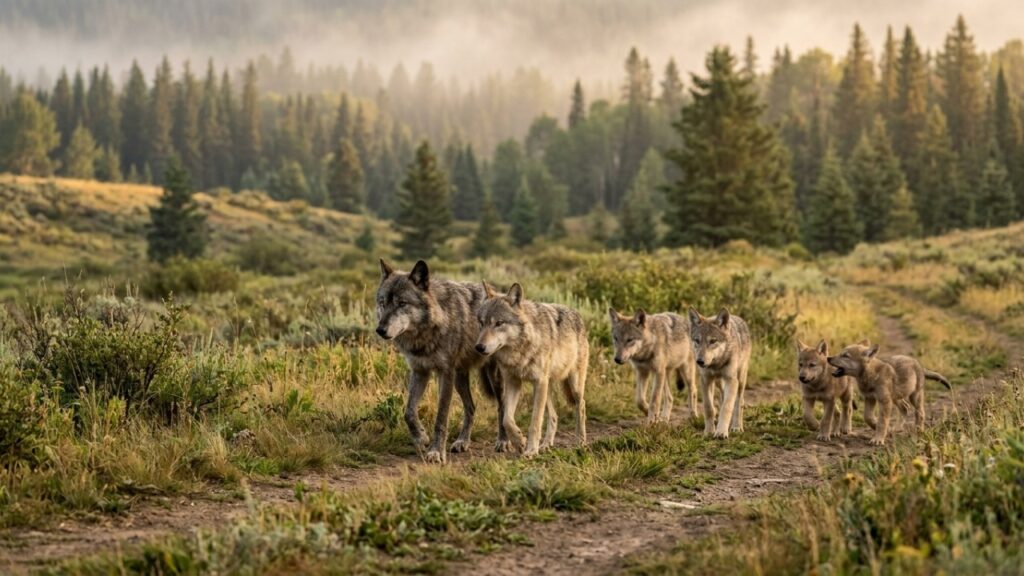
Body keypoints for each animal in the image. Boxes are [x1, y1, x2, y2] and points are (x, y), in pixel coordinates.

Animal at [376, 259, 505, 463]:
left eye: (402, 303)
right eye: (382, 303)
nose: (380, 330)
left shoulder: (445, 374)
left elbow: (441, 417)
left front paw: (436, 451)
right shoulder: (420, 371)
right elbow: (409, 412)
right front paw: (421, 438)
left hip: (493, 378)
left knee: (502, 408)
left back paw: (503, 441)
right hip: (459, 379)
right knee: (471, 407)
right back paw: (462, 442)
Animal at [474, 283, 588, 458]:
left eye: (499, 323)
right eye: (481, 323)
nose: (479, 347)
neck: (519, 351)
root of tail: (578, 315)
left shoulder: (538, 381)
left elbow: (535, 422)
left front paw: (531, 450)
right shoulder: (513, 382)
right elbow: (507, 419)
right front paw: (519, 442)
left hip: (571, 385)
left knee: (581, 406)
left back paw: (580, 441)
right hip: (546, 388)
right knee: (553, 416)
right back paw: (546, 445)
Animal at [688, 308, 751, 439]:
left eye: (713, 341)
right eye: (697, 340)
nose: (700, 361)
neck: (716, 365)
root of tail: (738, 318)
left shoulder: (731, 380)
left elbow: (726, 407)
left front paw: (721, 432)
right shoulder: (706, 380)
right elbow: (709, 408)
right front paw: (708, 431)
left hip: (740, 381)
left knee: (739, 403)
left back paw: (737, 427)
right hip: (719, 383)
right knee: (723, 398)